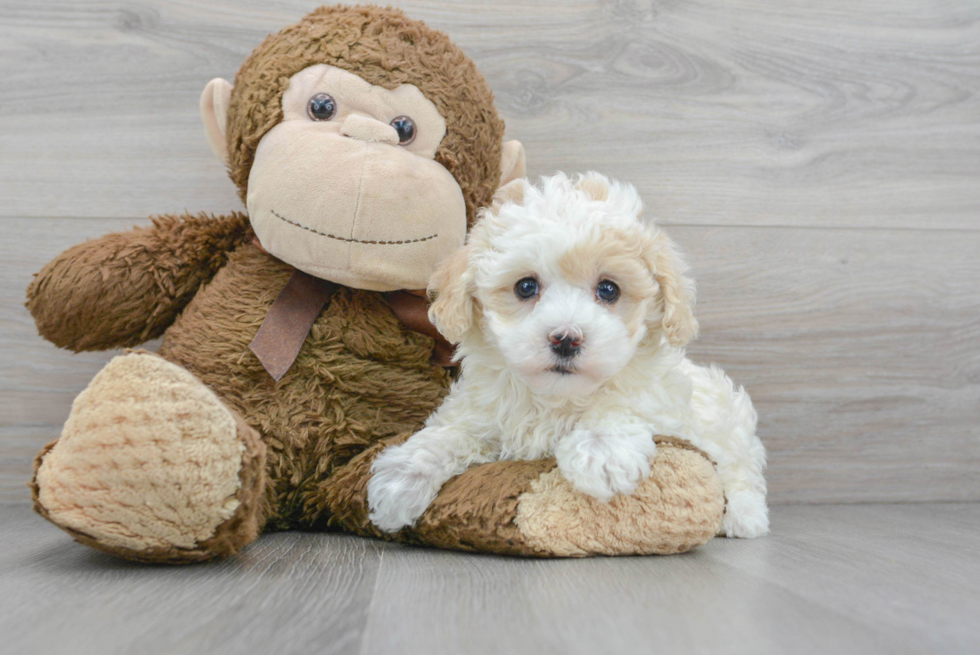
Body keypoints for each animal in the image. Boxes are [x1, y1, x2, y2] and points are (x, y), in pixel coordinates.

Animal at [368, 173, 764, 540]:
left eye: (609, 290)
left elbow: (625, 402)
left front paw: (602, 451)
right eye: (526, 286)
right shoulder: (480, 412)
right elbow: (451, 432)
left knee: (743, 469)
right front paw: (402, 476)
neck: (555, 398)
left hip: (733, 424)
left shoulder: (661, 398)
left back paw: (743, 515)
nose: (566, 339)